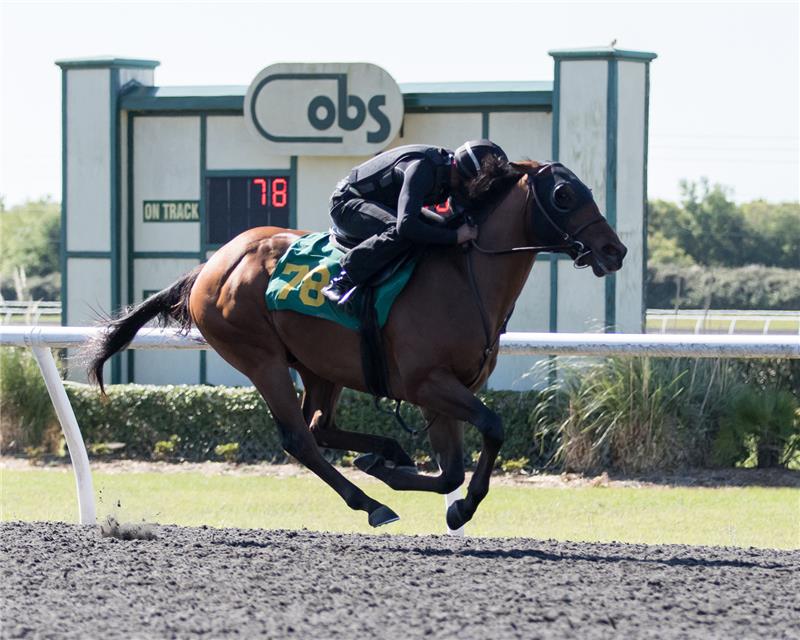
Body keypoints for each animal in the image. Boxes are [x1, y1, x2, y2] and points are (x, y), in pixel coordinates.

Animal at [86, 160, 624, 528]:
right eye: (563, 194)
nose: (614, 250)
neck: (464, 274)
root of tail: (211, 265)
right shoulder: (428, 384)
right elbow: (490, 429)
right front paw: (455, 505)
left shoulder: (442, 393)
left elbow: (451, 470)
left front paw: (418, 485)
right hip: (260, 358)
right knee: (299, 438)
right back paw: (371, 502)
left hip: (319, 365)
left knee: (319, 426)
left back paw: (384, 453)